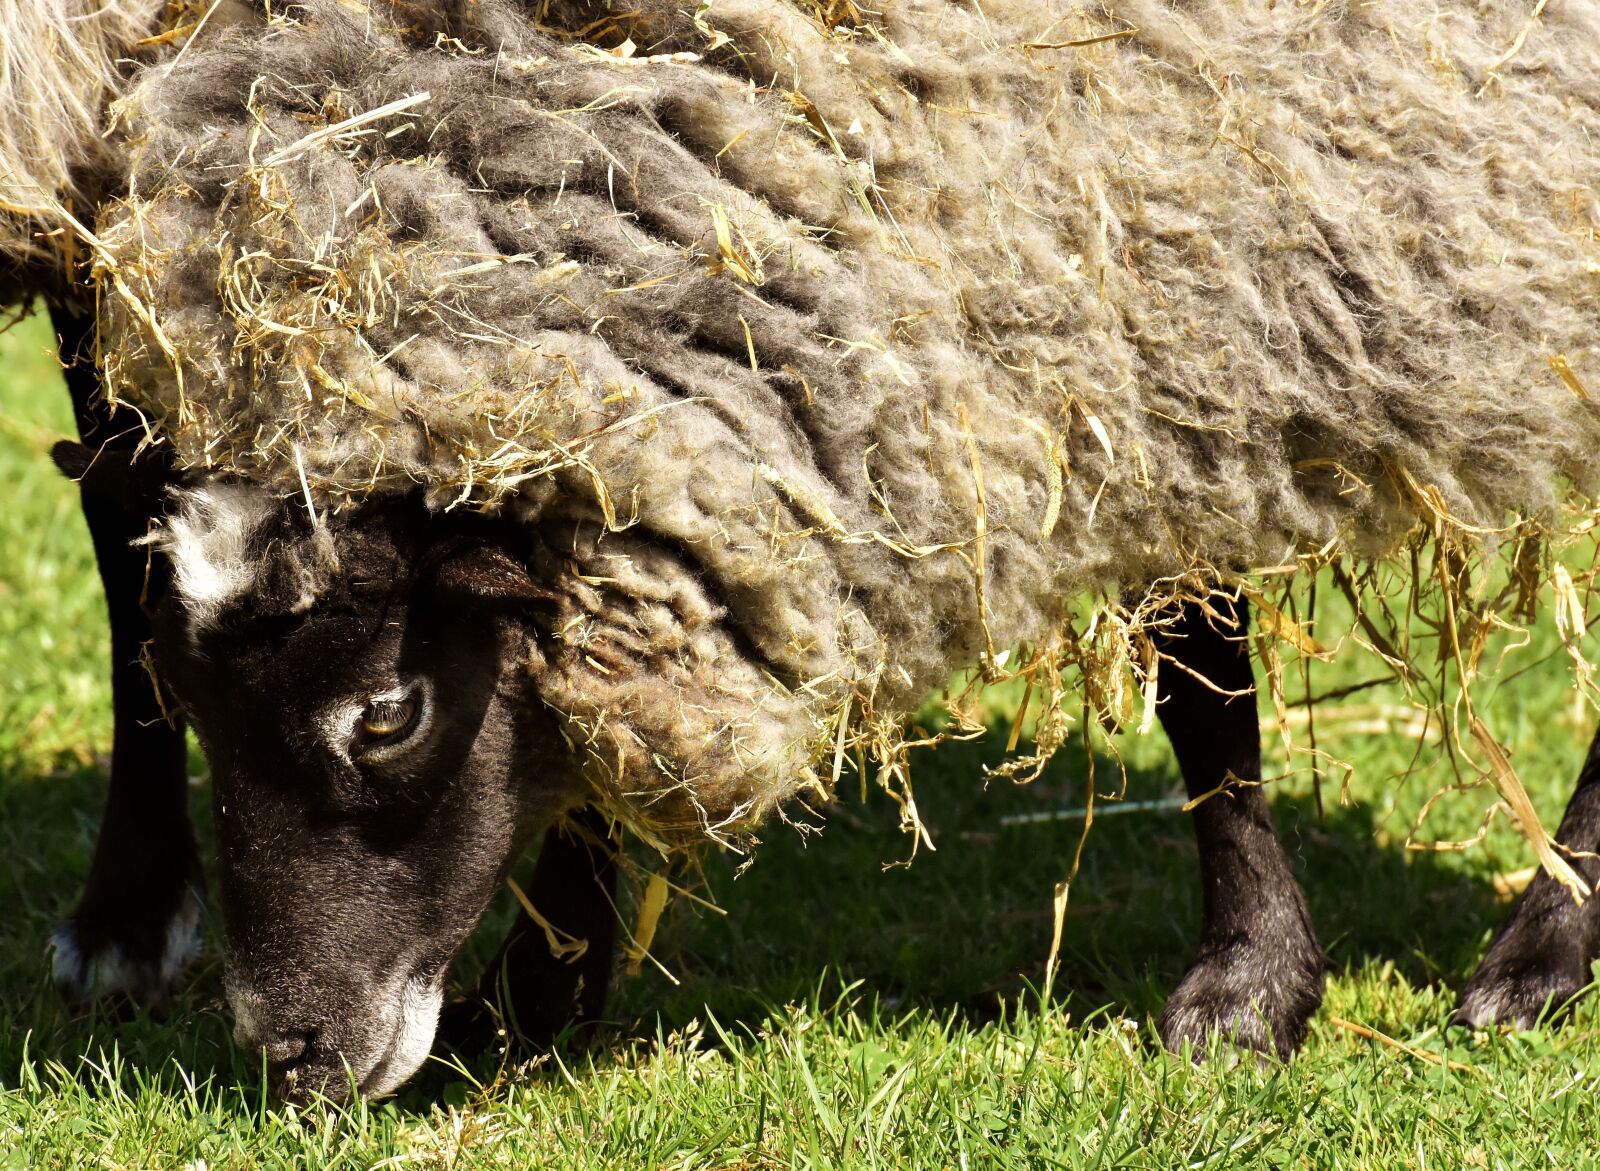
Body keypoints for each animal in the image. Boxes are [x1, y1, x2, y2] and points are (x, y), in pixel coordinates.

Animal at [10, 0, 1600, 1102]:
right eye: (184, 694)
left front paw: (1247, 984)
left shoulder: (1170, 242)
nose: (293, 1062)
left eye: (387, 713)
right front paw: (549, 980)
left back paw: (1545, 948)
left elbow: (1196, 668)